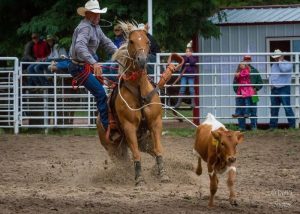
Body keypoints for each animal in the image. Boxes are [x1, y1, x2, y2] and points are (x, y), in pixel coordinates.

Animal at [97, 21, 170, 186]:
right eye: (131, 41)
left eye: (148, 41)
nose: (141, 60)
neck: (139, 89)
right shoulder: (129, 127)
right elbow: (136, 155)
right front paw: (139, 178)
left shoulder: (155, 123)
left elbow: (159, 149)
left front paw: (163, 174)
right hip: (112, 147)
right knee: (123, 160)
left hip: (142, 141)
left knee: (151, 150)